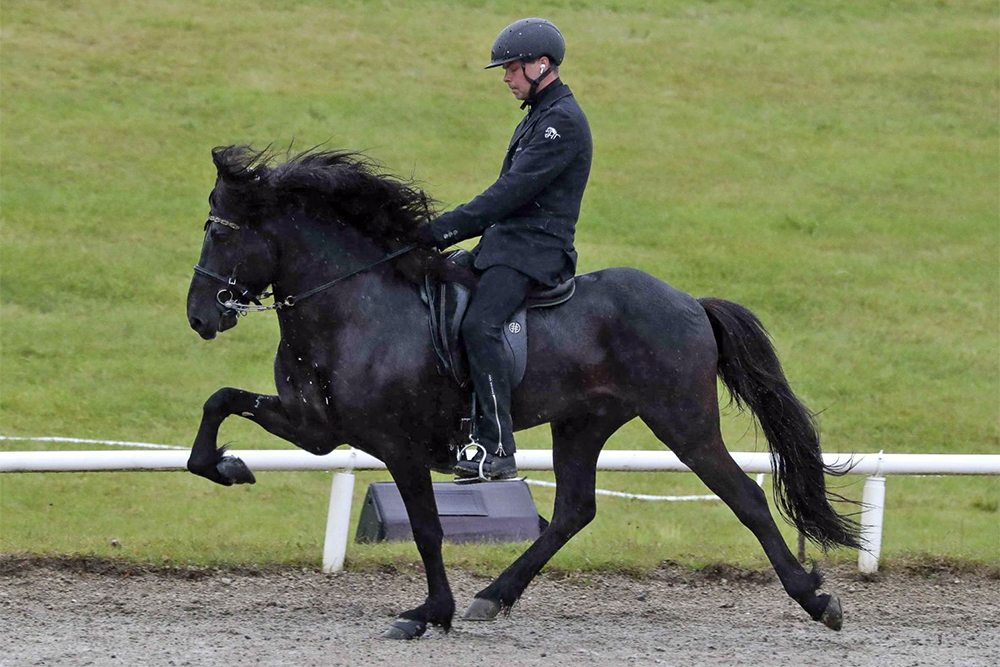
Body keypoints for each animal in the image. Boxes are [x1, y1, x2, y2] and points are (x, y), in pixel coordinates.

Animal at [186, 147, 860, 640]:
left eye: (219, 233)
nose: (199, 317)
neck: (352, 305)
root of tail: (691, 303)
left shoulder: (396, 446)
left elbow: (427, 529)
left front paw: (428, 614)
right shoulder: (316, 427)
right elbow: (218, 401)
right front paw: (229, 467)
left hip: (682, 422)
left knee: (746, 497)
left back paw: (816, 600)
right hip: (583, 423)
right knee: (573, 511)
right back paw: (493, 596)